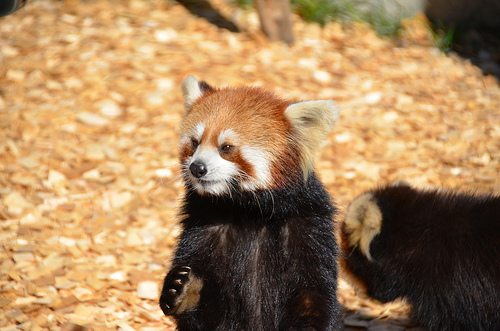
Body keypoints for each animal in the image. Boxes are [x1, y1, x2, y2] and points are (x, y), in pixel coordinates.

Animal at [160, 76, 340, 330]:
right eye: (195, 143)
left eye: (226, 148)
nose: (197, 167)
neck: (246, 212)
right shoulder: (200, 229)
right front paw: (186, 292)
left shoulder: (308, 228)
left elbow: (312, 293)